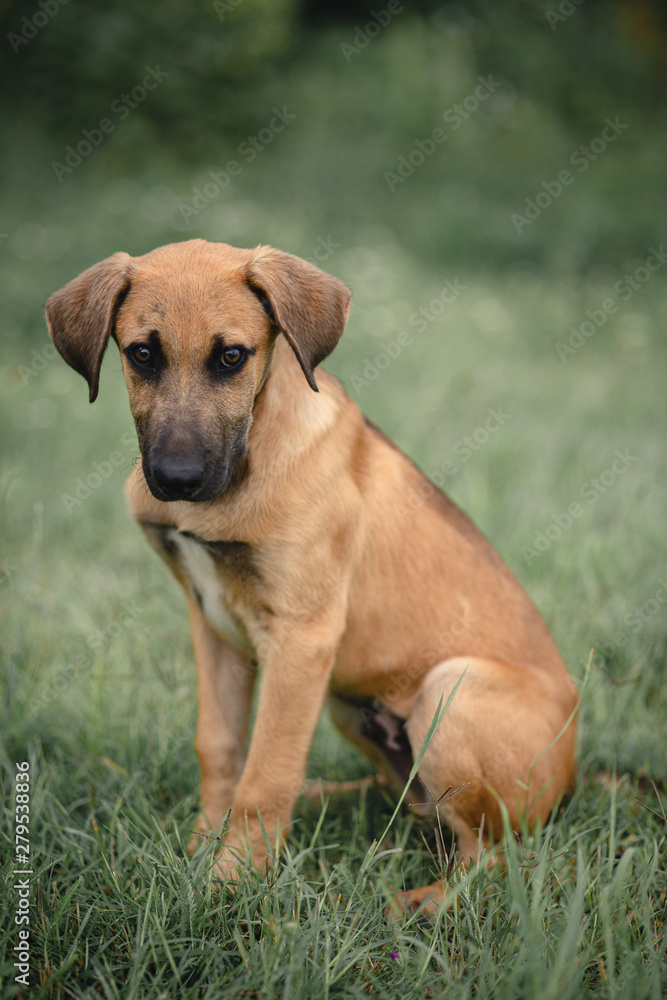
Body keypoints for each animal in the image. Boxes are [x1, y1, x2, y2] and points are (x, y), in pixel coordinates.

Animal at [47, 240, 580, 916]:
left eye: (231, 357)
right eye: (142, 353)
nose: (176, 480)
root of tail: (576, 775)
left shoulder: (302, 638)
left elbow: (267, 771)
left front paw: (230, 884)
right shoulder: (212, 625)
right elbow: (221, 748)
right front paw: (201, 849)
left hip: (450, 690)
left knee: (494, 856)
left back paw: (412, 904)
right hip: (350, 709)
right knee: (413, 805)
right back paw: (329, 799)